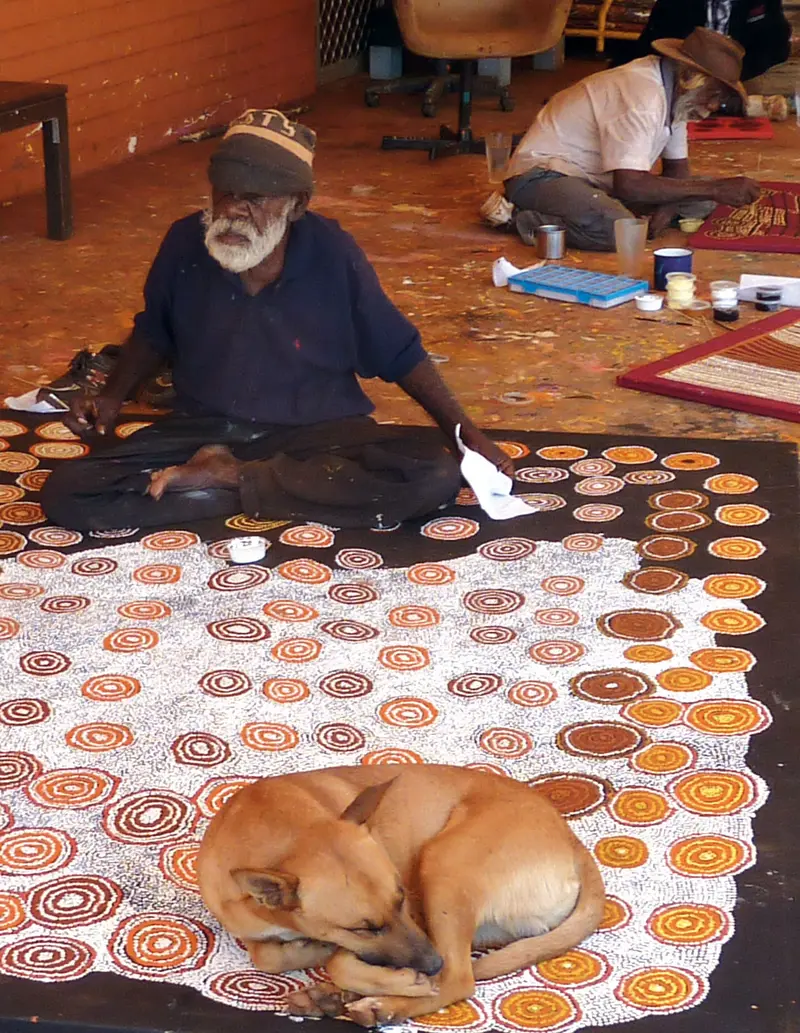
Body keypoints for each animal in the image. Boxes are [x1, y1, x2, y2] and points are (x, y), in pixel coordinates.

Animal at [197, 760, 603, 1024]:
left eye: (403, 897)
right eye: (362, 928)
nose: (431, 964)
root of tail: (572, 842)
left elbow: (335, 960)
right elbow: (267, 957)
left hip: (445, 864)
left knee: (458, 979)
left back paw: (379, 1003)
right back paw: (329, 997)